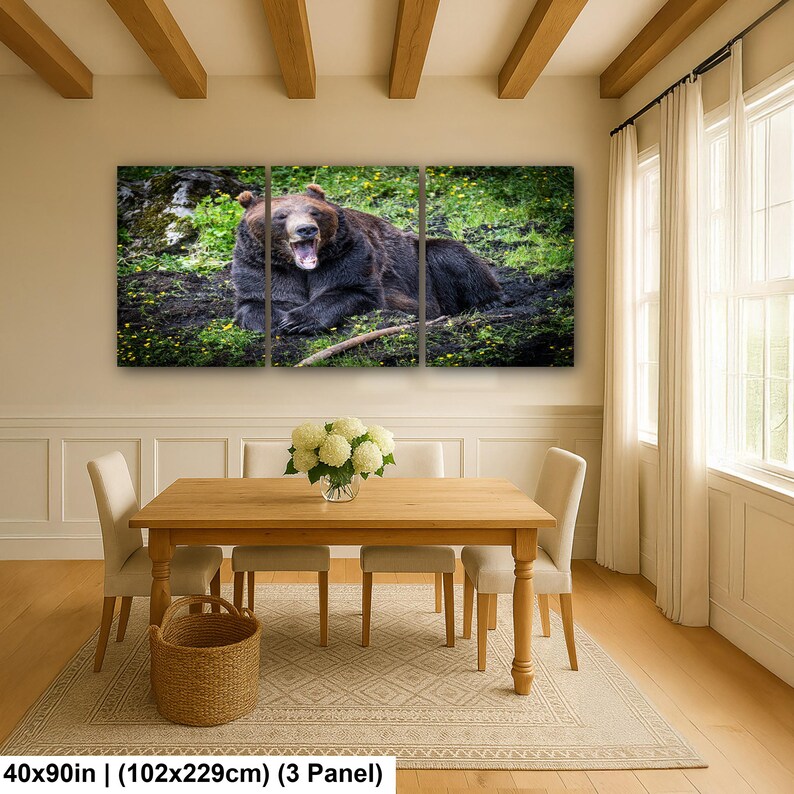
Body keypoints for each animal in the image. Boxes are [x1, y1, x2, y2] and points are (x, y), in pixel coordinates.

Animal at [231, 183, 501, 334]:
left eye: (314, 212)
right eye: (281, 216)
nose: (306, 229)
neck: (300, 268)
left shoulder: (347, 254)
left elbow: (352, 290)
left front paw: (298, 320)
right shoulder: (259, 264)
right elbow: (256, 300)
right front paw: (277, 320)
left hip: (421, 259)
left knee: (450, 254)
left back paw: (487, 302)